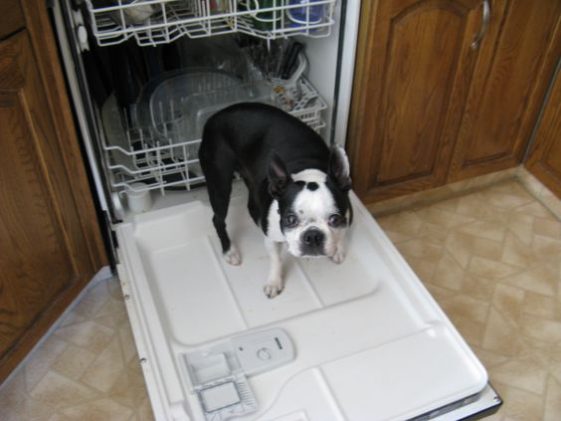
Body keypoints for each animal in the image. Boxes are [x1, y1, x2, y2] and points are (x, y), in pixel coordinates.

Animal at [199, 103, 352, 296]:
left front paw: (338, 249)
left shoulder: (348, 216)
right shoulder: (272, 240)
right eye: (290, 219)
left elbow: (343, 233)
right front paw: (274, 282)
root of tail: (215, 116)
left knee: (251, 205)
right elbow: (275, 260)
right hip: (219, 181)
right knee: (218, 218)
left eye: (335, 219)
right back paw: (229, 251)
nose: (313, 235)